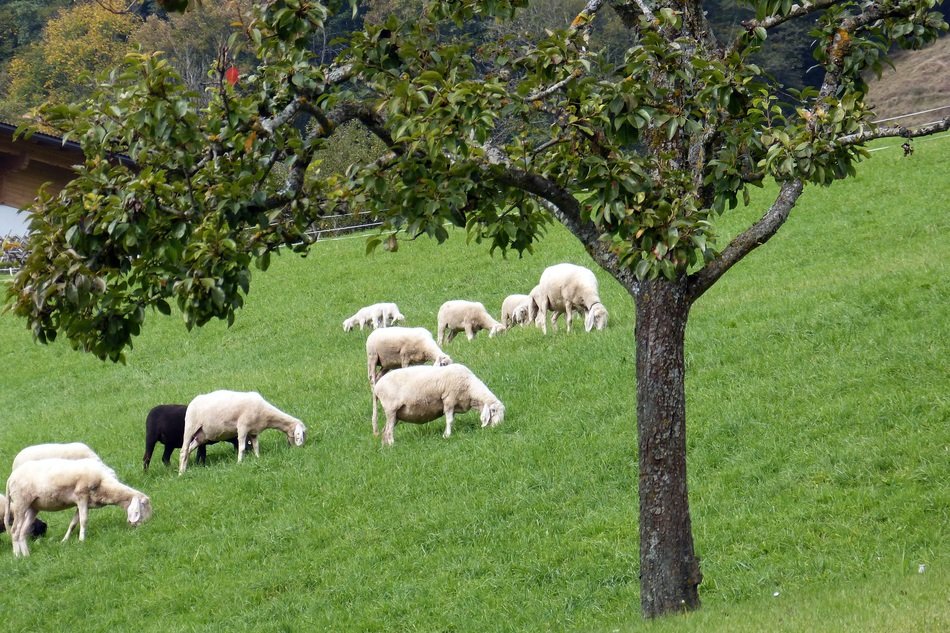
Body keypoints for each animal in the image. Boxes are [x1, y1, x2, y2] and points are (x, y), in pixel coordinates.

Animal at [5, 456, 152, 556]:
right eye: (144, 504)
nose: (146, 525)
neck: (105, 486)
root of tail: (10, 478)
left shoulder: (82, 503)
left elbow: (73, 523)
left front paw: (64, 540)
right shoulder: (81, 496)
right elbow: (84, 520)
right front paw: (82, 540)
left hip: (33, 507)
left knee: (22, 532)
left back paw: (26, 555)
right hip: (20, 503)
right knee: (15, 530)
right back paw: (17, 555)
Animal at [179, 388, 308, 472]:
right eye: (302, 434)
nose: (300, 449)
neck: (265, 414)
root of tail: (192, 402)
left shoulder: (254, 432)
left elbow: (256, 446)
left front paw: (257, 458)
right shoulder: (242, 427)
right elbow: (242, 447)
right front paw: (239, 462)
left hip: (201, 435)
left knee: (189, 450)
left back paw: (185, 469)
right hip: (190, 427)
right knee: (183, 451)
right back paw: (181, 473)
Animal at [370, 362, 506, 446]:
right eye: (493, 411)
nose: (499, 427)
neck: (470, 387)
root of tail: (377, 388)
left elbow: (451, 419)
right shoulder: (449, 399)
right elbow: (449, 420)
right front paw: (447, 435)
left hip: (396, 414)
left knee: (385, 429)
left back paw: (386, 446)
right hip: (391, 409)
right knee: (389, 430)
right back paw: (392, 444)